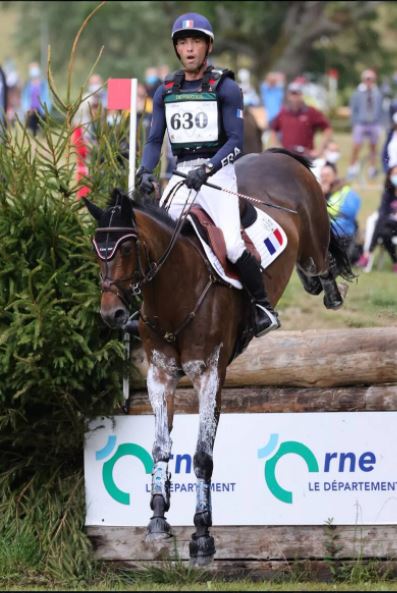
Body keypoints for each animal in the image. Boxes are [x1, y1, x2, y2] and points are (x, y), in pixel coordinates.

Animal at [84, 148, 352, 564]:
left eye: (126, 248)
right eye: (97, 251)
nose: (111, 314)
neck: (176, 292)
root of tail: (274, 155)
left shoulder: (210, 374)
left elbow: (202, 456)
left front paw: (202, 535)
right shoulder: (160, 375)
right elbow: (160, 447)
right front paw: (157, 518)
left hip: (312, 240)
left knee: (321, 262)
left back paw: (329, 289)